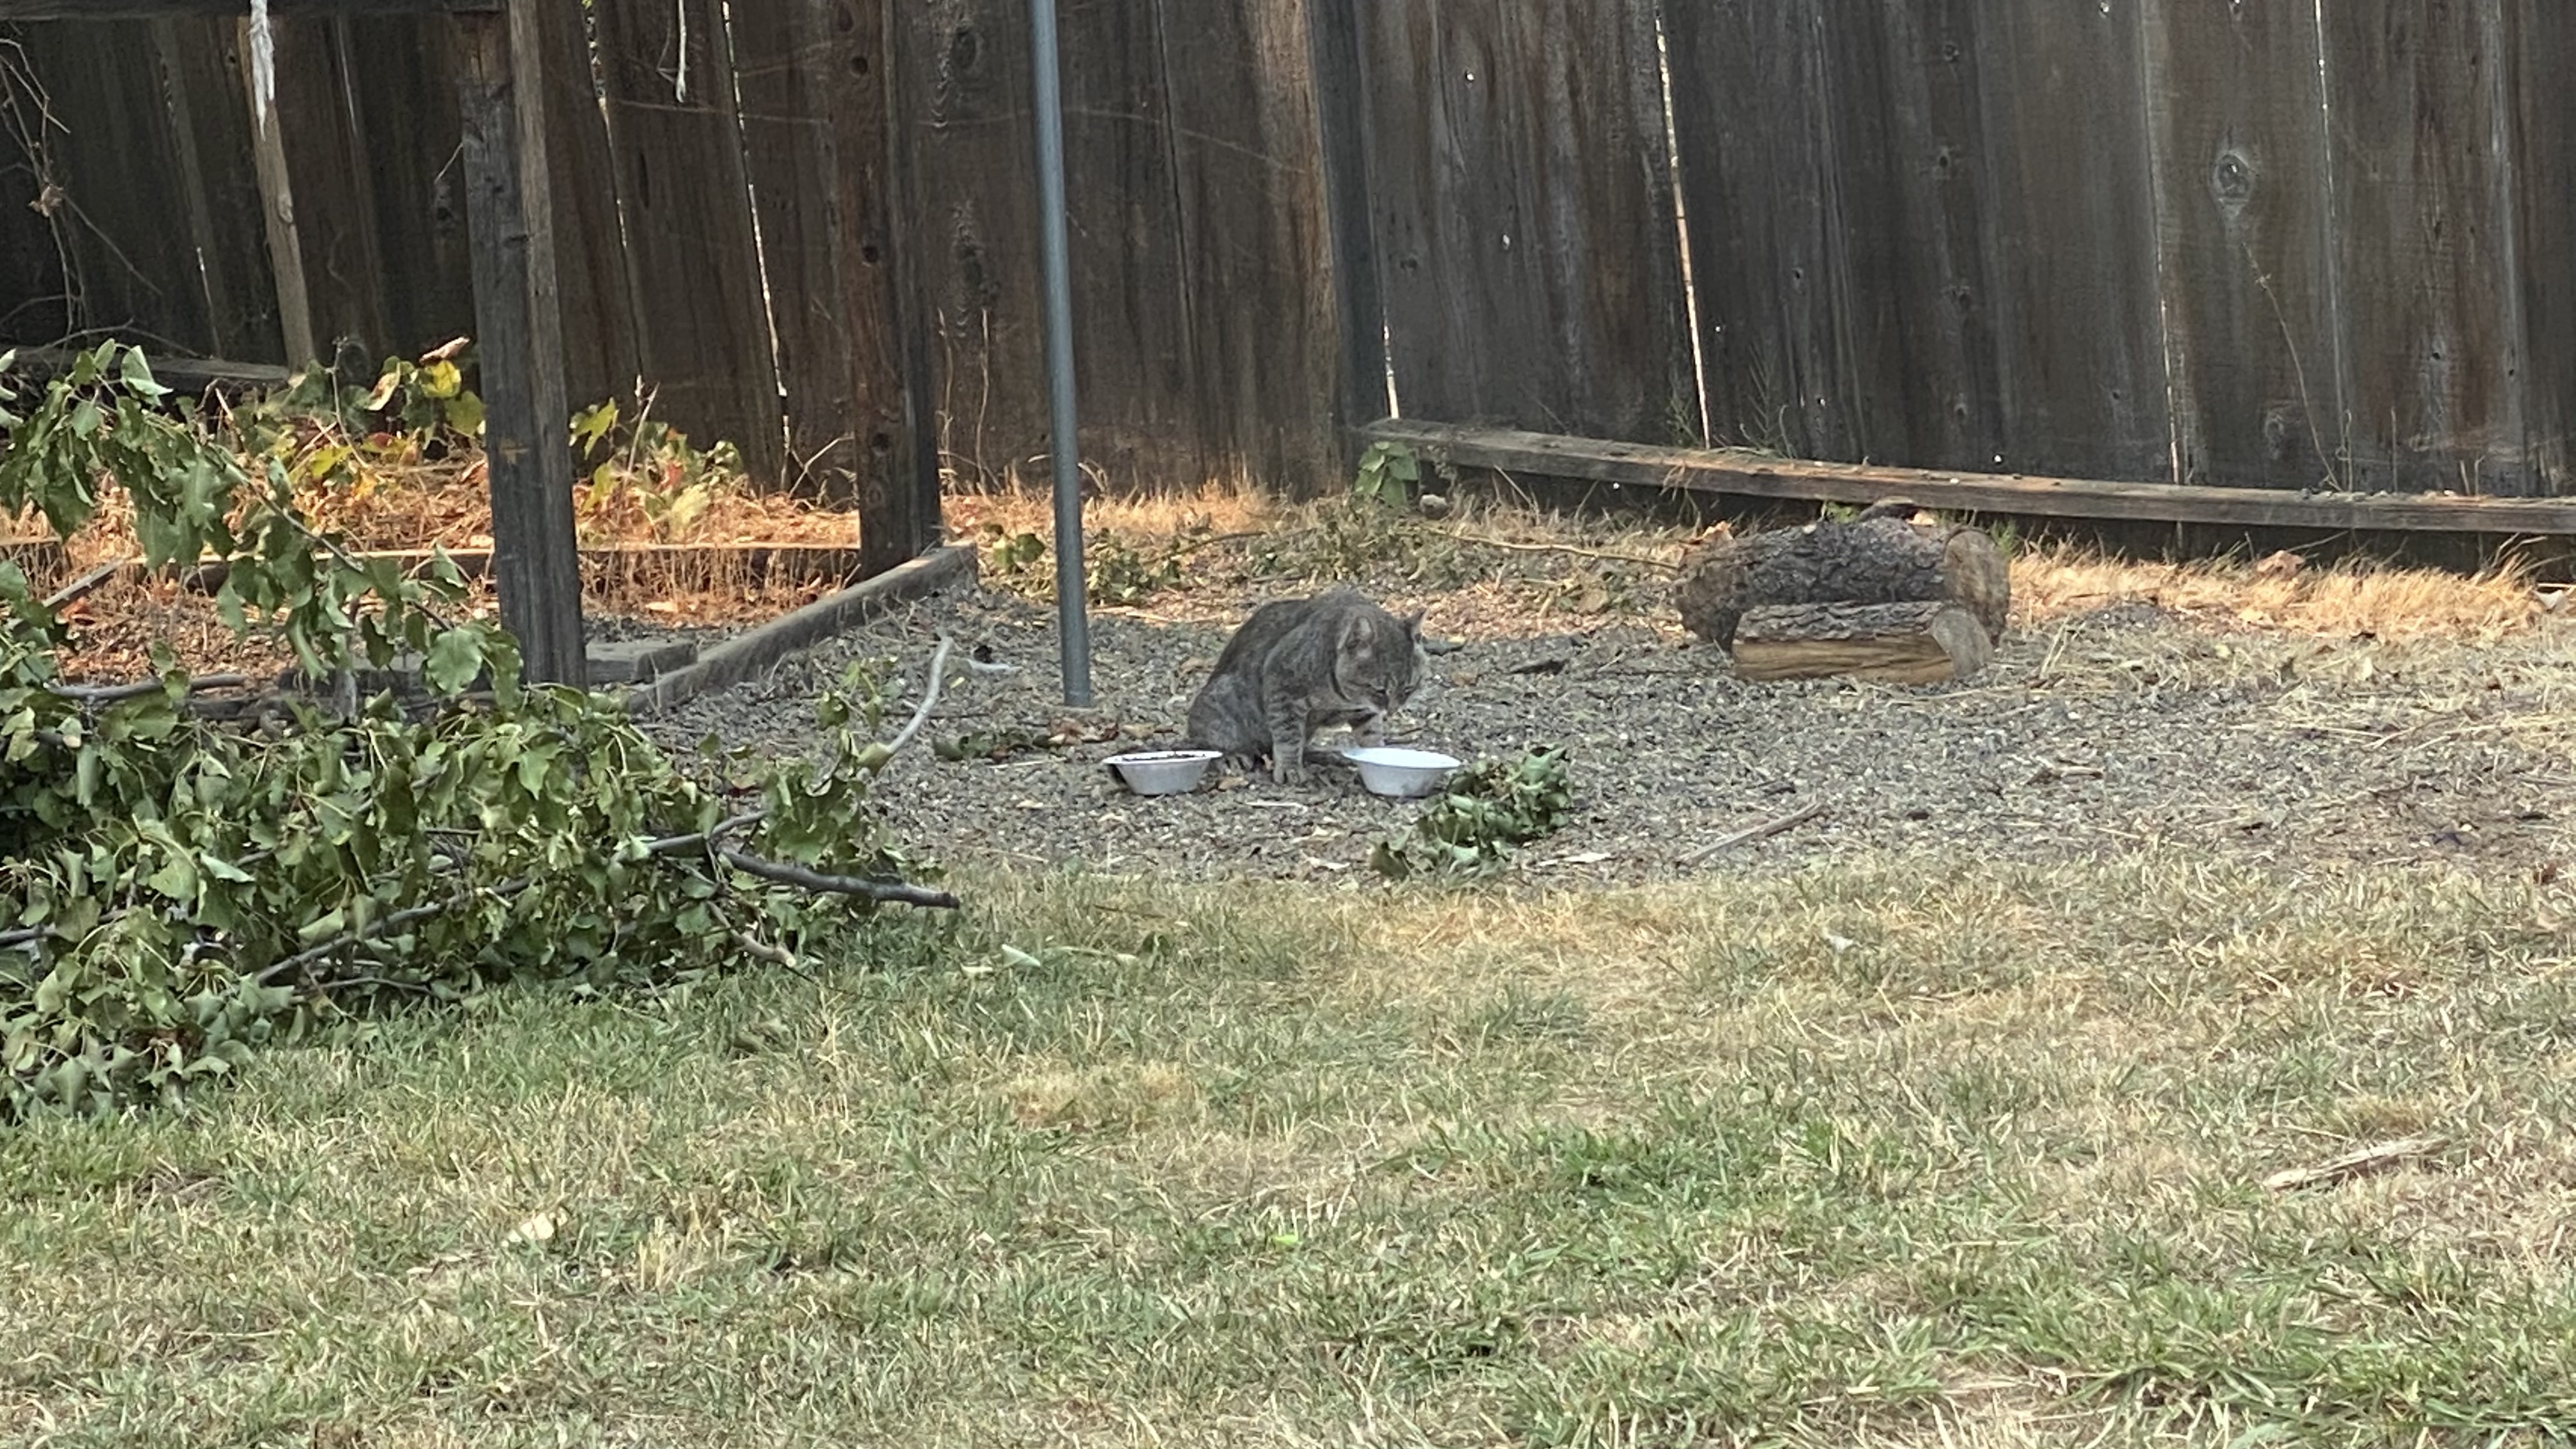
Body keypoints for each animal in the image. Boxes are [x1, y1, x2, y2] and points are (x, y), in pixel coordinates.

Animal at [1185, 588, 1426, 784]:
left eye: (1408, 688)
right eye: (1380, 689)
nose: (1392, 710)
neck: (1342, 697)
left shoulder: (1364, 711)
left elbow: (1372, 735)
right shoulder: (1282, 686)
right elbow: (1288, 736)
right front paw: (1290, 768)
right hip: (1220, 695)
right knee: (1208, 741)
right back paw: (1230, 755)